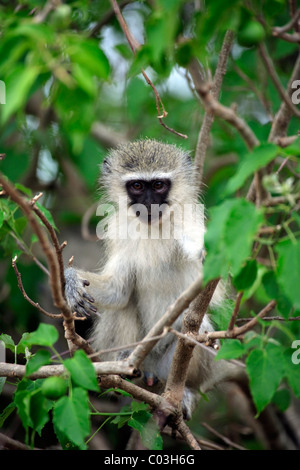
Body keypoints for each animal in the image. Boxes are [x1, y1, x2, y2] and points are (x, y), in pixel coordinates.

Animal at [64, 140, 240, 418]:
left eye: (158, 185)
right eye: (137, 186)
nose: (148, 204)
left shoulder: (188, 218)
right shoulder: (119, 232)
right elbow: (117, 291)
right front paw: (71, 282)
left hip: (171, 366)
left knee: (198, 330)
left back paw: (185, 390)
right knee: (122, 307)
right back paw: (123, 365)